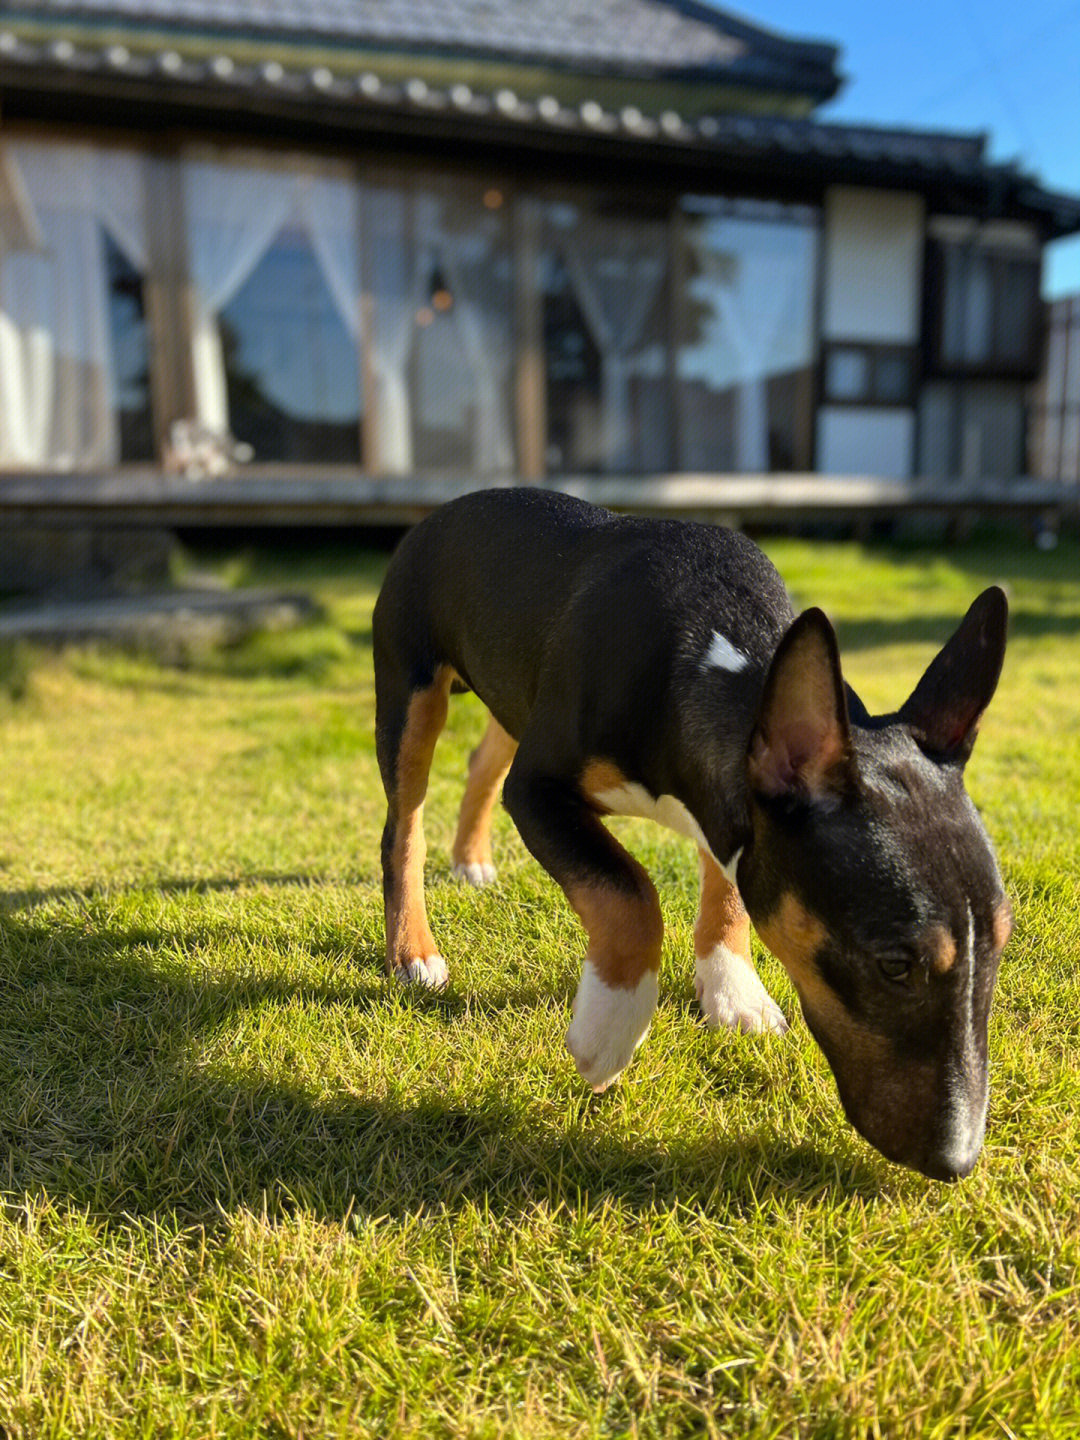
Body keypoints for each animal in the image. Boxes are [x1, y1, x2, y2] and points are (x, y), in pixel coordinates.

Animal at [374, 489, 1013, 1175]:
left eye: (1002, 942)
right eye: (895, 964)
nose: (958, 1160)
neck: (710, 650)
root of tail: (447, 508)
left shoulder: (727, 812)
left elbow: (728, 890)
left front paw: (734, 992)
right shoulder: (540, 789)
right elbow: (628, 890)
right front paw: (612, 1027)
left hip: (510, 689)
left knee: (483, 760)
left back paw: (470, 859)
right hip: (412, 694)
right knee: (403, 828)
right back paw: (413, 950)